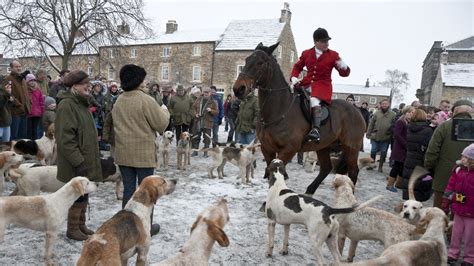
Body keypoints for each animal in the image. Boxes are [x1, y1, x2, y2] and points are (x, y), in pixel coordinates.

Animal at [233, 42, 366, 195]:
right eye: (247, 60)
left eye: (260, 63)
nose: (238, 89)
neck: (279, 109)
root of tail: (356, 110)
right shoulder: (267, 148)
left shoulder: (289, 149)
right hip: (323, 145)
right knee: (326, 167)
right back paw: (310, 190)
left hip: (351, 147)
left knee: (353, 171)